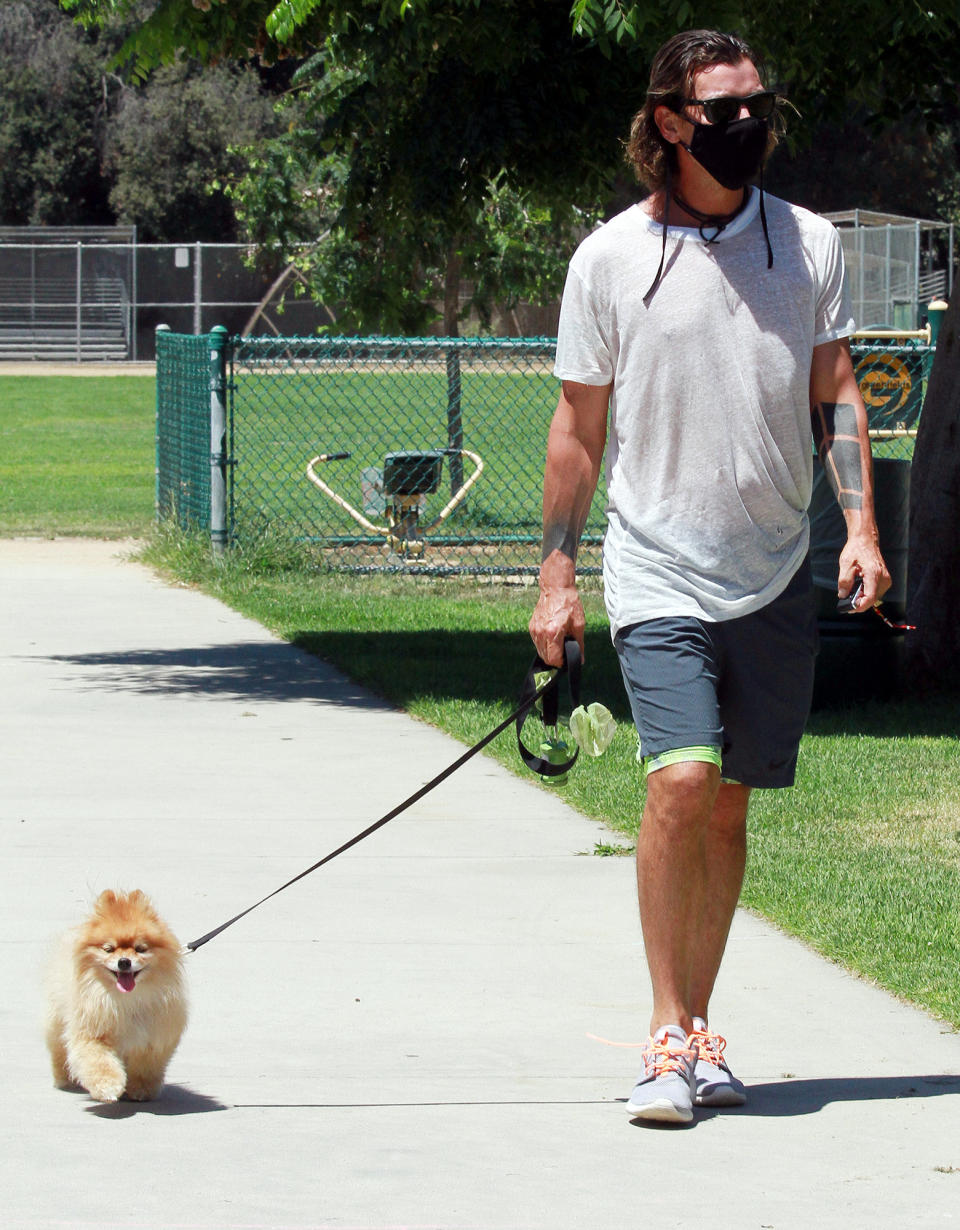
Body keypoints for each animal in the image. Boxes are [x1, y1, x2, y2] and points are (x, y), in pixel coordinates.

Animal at [44, 890, 187, 1102]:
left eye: (140, 949)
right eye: (108, 949)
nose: (124, 961)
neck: (127, 1000)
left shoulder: (153, 1038)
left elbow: (145, 1066)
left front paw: (141, 1089)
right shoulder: (94, 1034)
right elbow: (99, 1063)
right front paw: (108, 1087)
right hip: (57, 1020)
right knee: (59, 1048)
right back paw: (65, 1079)